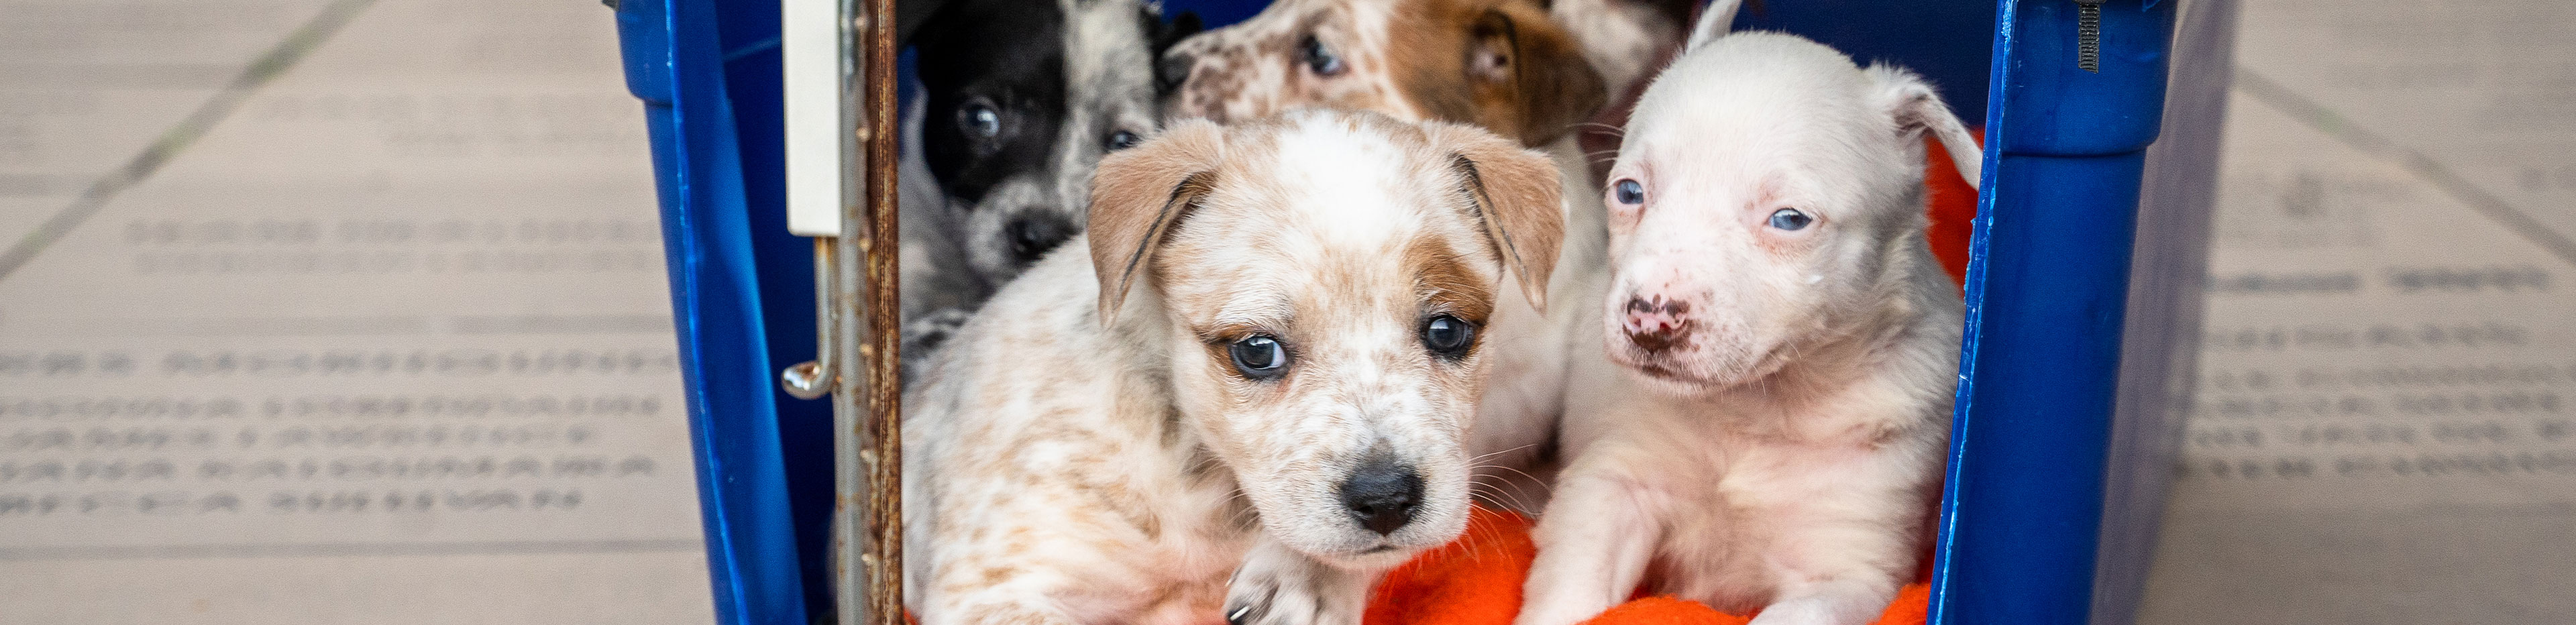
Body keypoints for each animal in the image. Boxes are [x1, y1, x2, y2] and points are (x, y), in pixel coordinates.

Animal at [903, 110, 1565, 625]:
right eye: (1257, 351)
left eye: (1447, 331)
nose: (1386, 500)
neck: (1204, 480)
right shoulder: (998, 585)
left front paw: (1303, 581)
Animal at [1515, 7, 1985, 625]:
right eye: (1629, 191)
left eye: (1789, 219)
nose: (1650, 321)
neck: (1755, 413)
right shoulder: (1613, 484)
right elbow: (1571, 594)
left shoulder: (1847, 569)